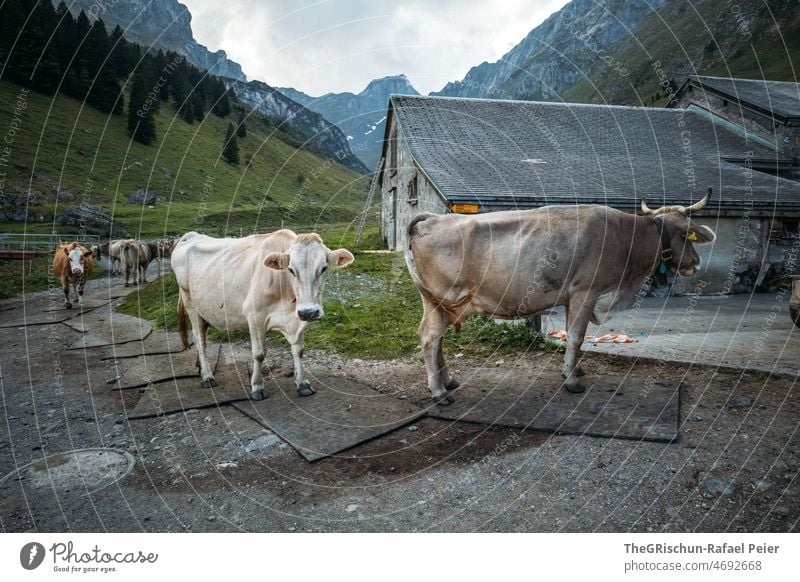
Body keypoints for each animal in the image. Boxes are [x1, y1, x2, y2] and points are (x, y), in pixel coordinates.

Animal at [171, 229, 354, 402]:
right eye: (291, 270)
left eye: (323, 268)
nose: (309, 312)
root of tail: (191, 236)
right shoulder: (254, 316)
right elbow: (259, 354)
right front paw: (257, 387)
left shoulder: (296, 318)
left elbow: (299, 350)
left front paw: (302, 383)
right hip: (190, 301)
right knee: (199, 339)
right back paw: (208, 377)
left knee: (202, 336)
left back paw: (201, 369)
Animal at [404, 194, 716, 404]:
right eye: (688, 235)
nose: (697, 262)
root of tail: (434, 218)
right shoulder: (585, 292)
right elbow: (577, 337)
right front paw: (573, 380)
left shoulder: (571, 298)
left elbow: (572, 336)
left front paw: (574, 369)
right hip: (440, 299)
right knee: (430, 338)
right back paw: (439, 392)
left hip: (440, 304)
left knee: (435, 339)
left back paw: (448, 381)